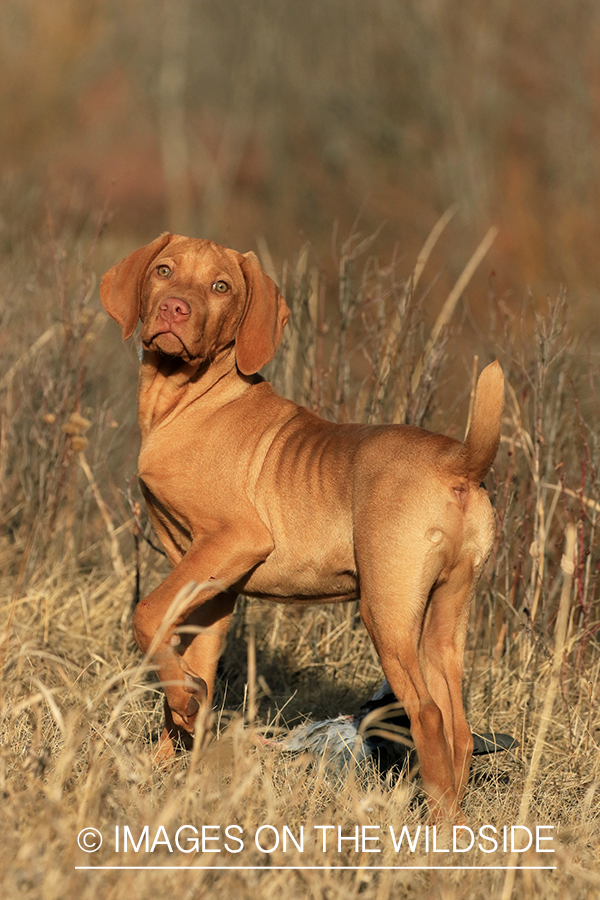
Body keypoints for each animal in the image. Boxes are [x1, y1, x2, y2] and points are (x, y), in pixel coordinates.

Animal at [101, 234, 504, 824]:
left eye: (221, 286)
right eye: (163, 271)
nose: (174, 309)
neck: (186, 398)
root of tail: (458, 462)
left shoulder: (233, 540)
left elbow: (146, 616)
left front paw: (182, 710)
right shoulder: (210, 582)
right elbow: (190, 663)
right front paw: (171, 758)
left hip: (387, 609)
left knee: (427, 715)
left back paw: (427, 826)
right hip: (443, 616)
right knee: (459, 728)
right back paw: (451, 819)